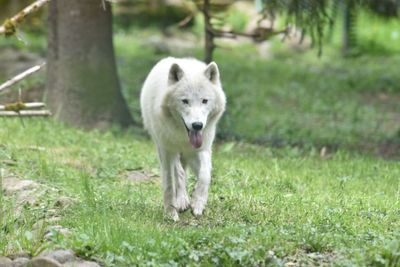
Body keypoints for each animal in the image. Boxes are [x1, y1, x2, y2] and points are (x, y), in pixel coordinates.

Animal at [141, 57, 227, 222]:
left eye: (204, 101)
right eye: (185, 101)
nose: (197, 125)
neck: (183, 136)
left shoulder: (203, 148)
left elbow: (205, 175)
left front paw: (198, 204)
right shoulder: (166, 150)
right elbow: (169, 182)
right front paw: (170, 213)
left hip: (188, 155)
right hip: (168, 148)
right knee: (179, 173)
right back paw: (181, 202)